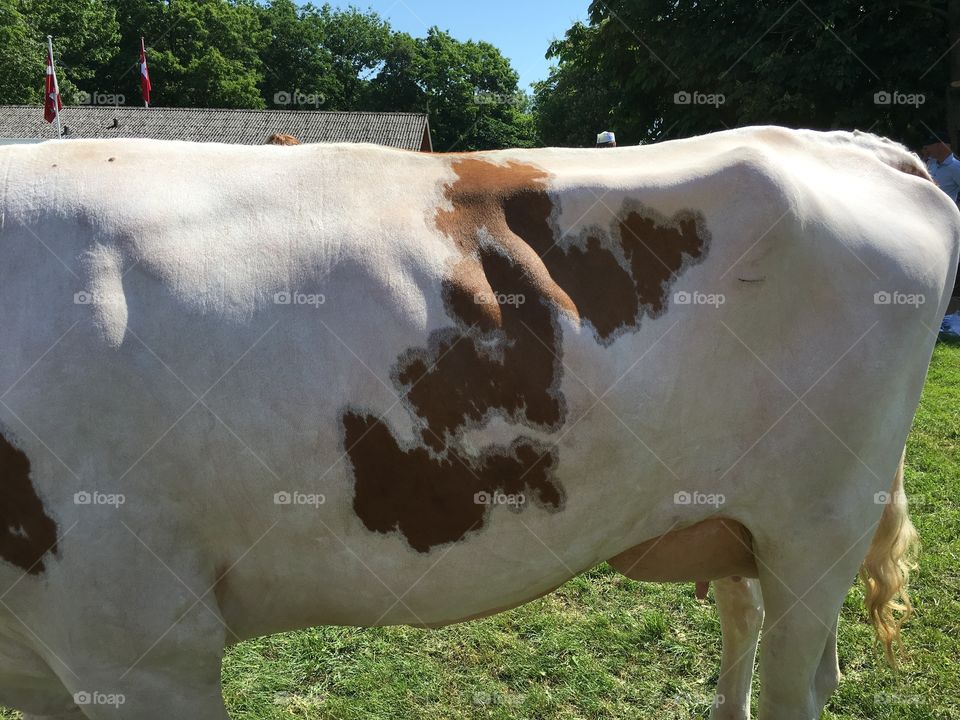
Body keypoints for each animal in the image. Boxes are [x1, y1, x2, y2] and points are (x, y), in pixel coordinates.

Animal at [0, 126, 956, 720]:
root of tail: (841, 140)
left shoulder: (142, 645)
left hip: (820, 521)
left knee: (804, 677)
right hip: (738, 513)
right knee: (741, 612)